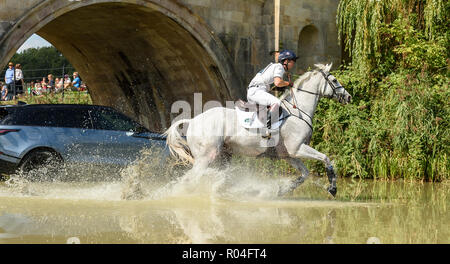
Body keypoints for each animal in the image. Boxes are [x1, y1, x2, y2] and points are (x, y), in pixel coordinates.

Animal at [164, 63, 352, 196]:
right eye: (334, 80)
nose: (349, 97)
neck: (298, 111)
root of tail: (193, 120)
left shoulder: (288, 154)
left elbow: (304, 174)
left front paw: (283, 189)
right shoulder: (297, 148)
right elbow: (326, 158)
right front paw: (333, 188)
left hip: (223, 156)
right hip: (206, 157)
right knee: (189, 180)